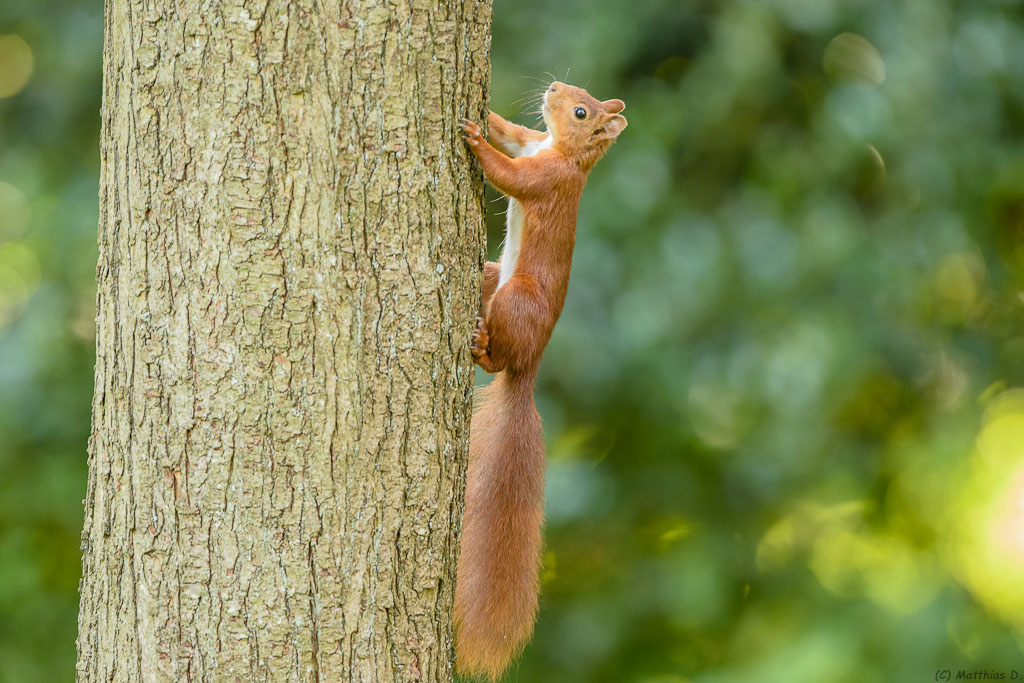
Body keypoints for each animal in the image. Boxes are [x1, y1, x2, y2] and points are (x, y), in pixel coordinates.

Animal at [454, 82, 627, 679]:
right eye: (583, 96)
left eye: (580, 111)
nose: (553, 87)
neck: (566, 155)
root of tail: (529, 370)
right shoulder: (532, 143)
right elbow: (513, 135)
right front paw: (486, 116)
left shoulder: (545, 178)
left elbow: (508, 175)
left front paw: (475, 141)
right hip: (489, 276)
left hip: (516, 300)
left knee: (498, 360)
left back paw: (483, 351)